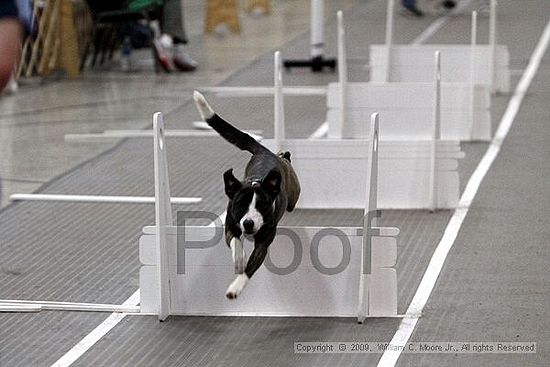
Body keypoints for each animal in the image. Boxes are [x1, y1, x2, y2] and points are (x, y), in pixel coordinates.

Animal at [195, 91, 302, 300]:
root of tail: (266, 152)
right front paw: (239, 261)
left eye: (262, 205)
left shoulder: (263, 245)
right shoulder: (230, 226)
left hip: (293, 194)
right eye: (240, 205)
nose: (249, 223)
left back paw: (285, 155)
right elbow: (236, 243)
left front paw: (235, 287)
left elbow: (250, 269)